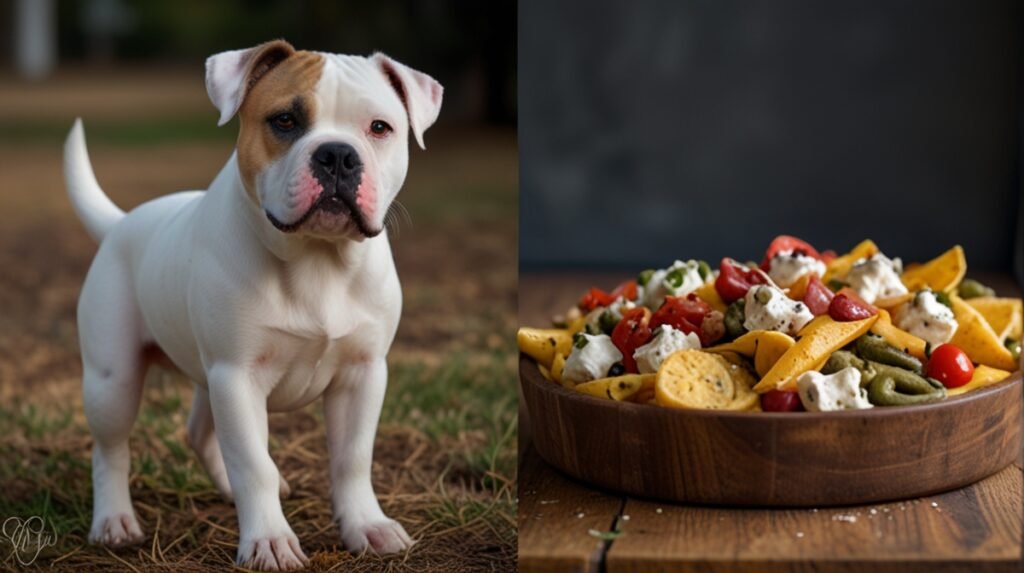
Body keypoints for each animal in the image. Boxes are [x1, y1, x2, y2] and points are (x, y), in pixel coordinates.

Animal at [61, 39, 442, 568]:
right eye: (284, 121)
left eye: (380, 127)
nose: (338, 155)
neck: (316, 257)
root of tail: (122, 223)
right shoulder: (238, 376)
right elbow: (252, 462)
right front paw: (269, 540)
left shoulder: (362, 374)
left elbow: (352, 458)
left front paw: (367, 525)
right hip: (112, 380)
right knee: (112, 449)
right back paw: (114, 520)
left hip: (206, 378)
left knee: (200, 432)